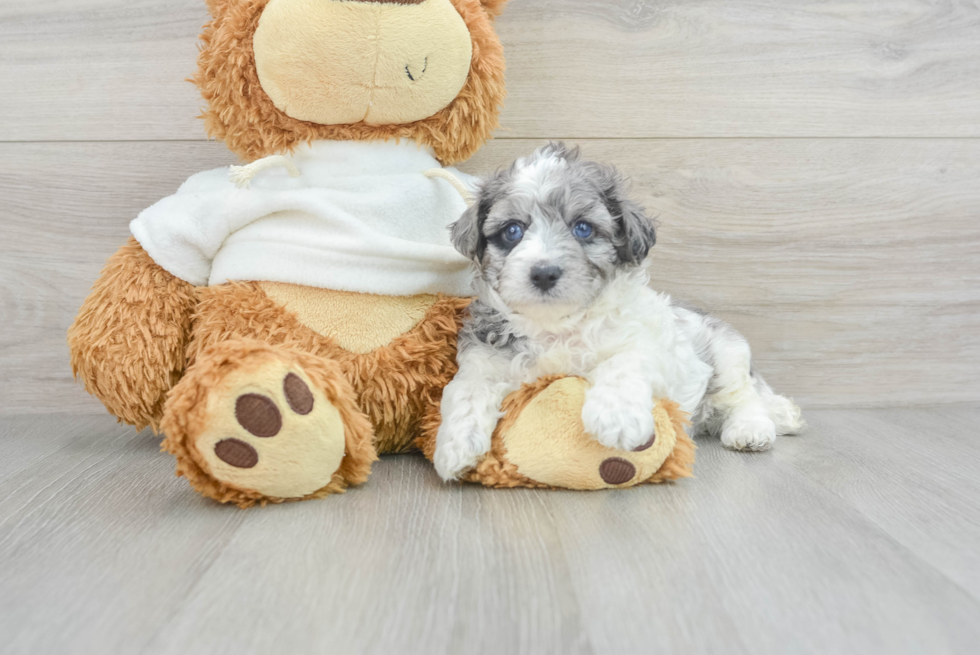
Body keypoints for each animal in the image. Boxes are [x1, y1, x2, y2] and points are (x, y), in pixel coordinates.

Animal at [436, 144, 804, 482]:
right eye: (512, 231)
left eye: (583, 228)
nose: (543, 273)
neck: (556, 325)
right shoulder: (482, 357)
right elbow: (465, 390)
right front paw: (454, 447)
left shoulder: (649, 344)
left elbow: (623, 362)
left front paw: (617, 417)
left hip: (727, 354)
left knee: (744, 397)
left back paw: (750, 429)